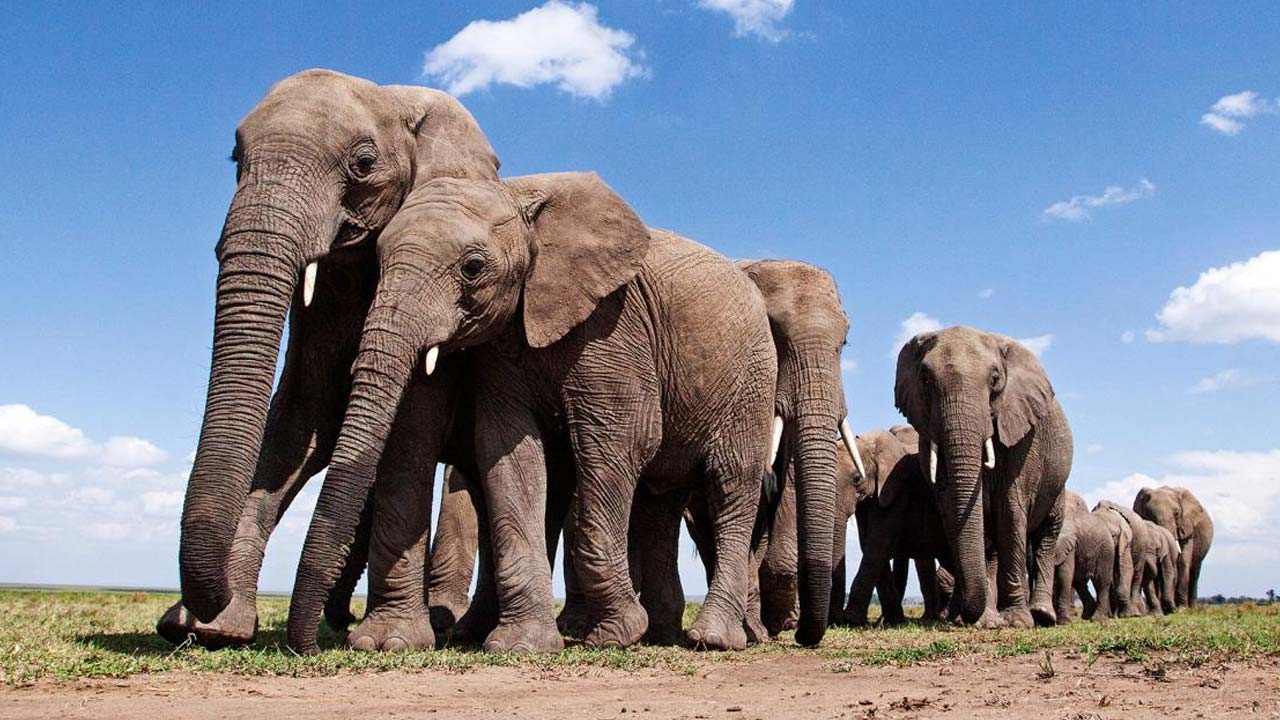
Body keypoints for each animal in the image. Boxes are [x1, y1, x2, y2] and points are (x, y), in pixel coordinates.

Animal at [160, 69, 500, 647]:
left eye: (363, 164)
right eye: (235, 156)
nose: (193, 615)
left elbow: (403, 423)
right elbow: (303, 415)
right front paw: (216, 628)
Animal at [284, 171, 778, 654]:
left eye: (472, 268)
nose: (310, 648)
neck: (520, 200)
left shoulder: (614, 325)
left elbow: (621, 440)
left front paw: (615, 635)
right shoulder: (504, 347)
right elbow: (509, 453)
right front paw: (523, 645)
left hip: (752, 381)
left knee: (731, 488)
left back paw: (712, 639)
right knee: (660, 502)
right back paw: (663, 635)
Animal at [895, 327, 1073, 628]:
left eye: (995, 380)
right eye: (925, 380)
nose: (959, 616)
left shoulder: (1024, 438)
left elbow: (1011, 511)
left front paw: (1016, 622)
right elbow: (953, 514)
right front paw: (969, 620)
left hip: (1058, 483)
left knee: (1045, 536)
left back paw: (1041, 615)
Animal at [1051, 492, 1115, 623]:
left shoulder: (1069, 544)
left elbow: (1064, 574)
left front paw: (1064, 622)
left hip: (1106, 551)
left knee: (1101, 582)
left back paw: (1096, 618)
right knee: (1079, 583)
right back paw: (1087, 615)